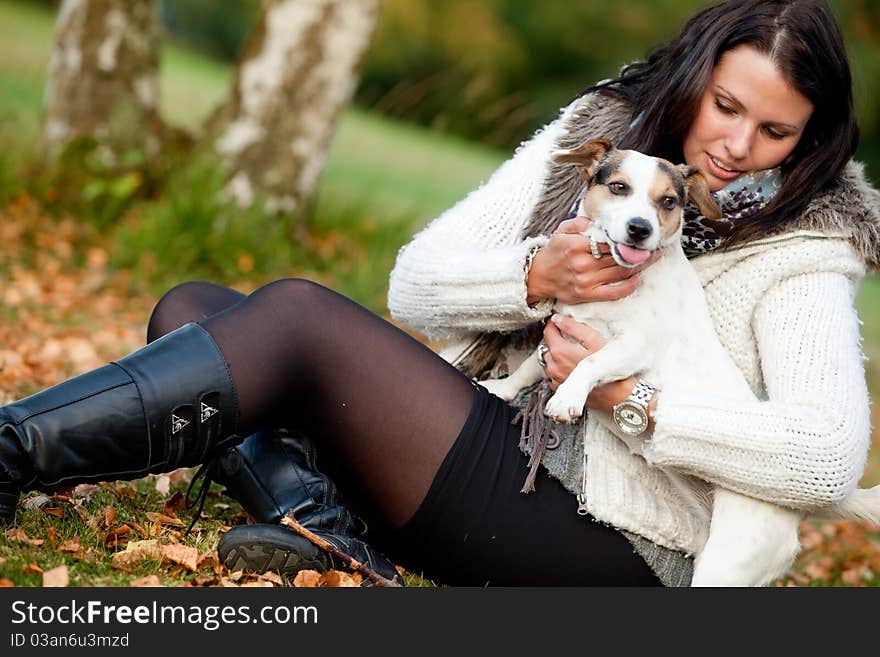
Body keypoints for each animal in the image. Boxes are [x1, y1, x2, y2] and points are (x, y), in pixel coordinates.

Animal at [478, 137, 880, 584]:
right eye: (618, 187)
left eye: (668, 201)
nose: (640, 228)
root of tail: (798, 511)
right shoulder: (563, 325)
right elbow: (532, 364)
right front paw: (502, 387)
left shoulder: (632, 347)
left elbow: (589, 364)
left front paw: (567, 397)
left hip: (728, 564)